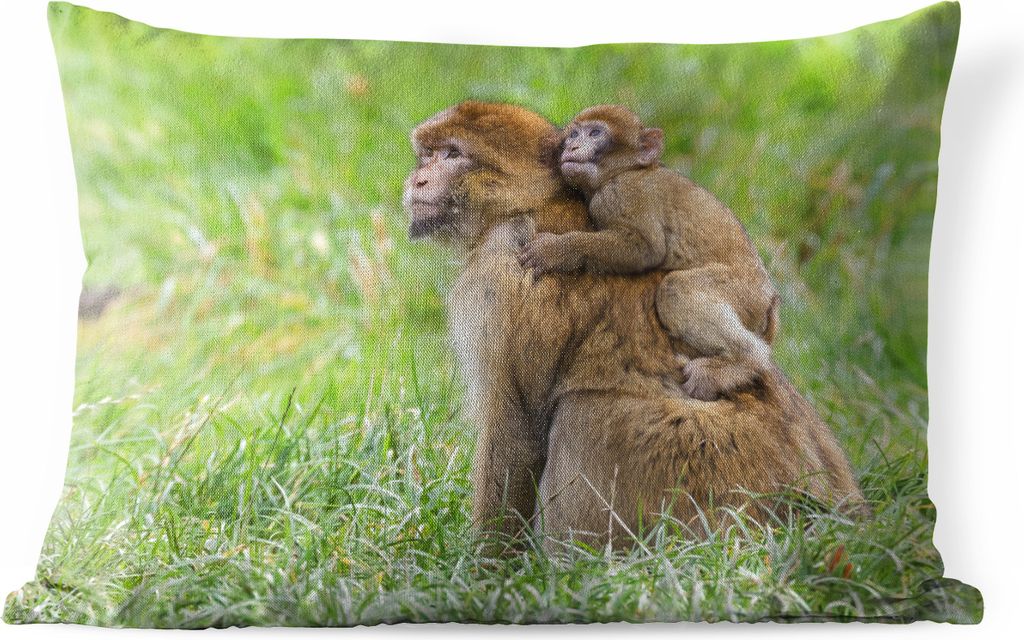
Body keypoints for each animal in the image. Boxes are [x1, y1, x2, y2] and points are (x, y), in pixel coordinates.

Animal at [518, 105, 780, 402]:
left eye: (595, 133)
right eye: (574, 133)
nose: (571, 146)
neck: (625, 170)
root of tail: (770, 300)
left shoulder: (622, 194)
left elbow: (646, 249)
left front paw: (556, 250)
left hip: (743, 292)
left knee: (677, 288)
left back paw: (741, 362)